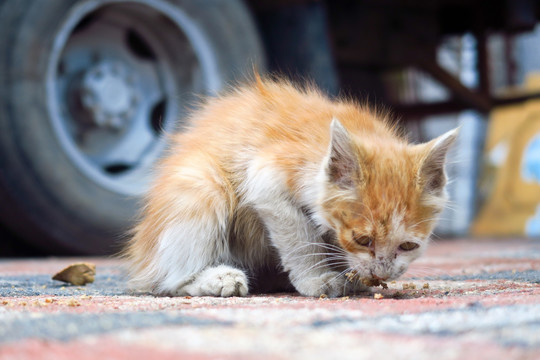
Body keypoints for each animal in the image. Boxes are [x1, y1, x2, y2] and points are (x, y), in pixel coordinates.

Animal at [124, 76, 458, 298]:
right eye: (362, 240)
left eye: (408, 246)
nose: (383, 271)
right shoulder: (265, 177)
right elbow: (300, 237)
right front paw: (318, 278)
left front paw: (352, 275)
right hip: (202, 184)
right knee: (166, 281)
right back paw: (216, 279)